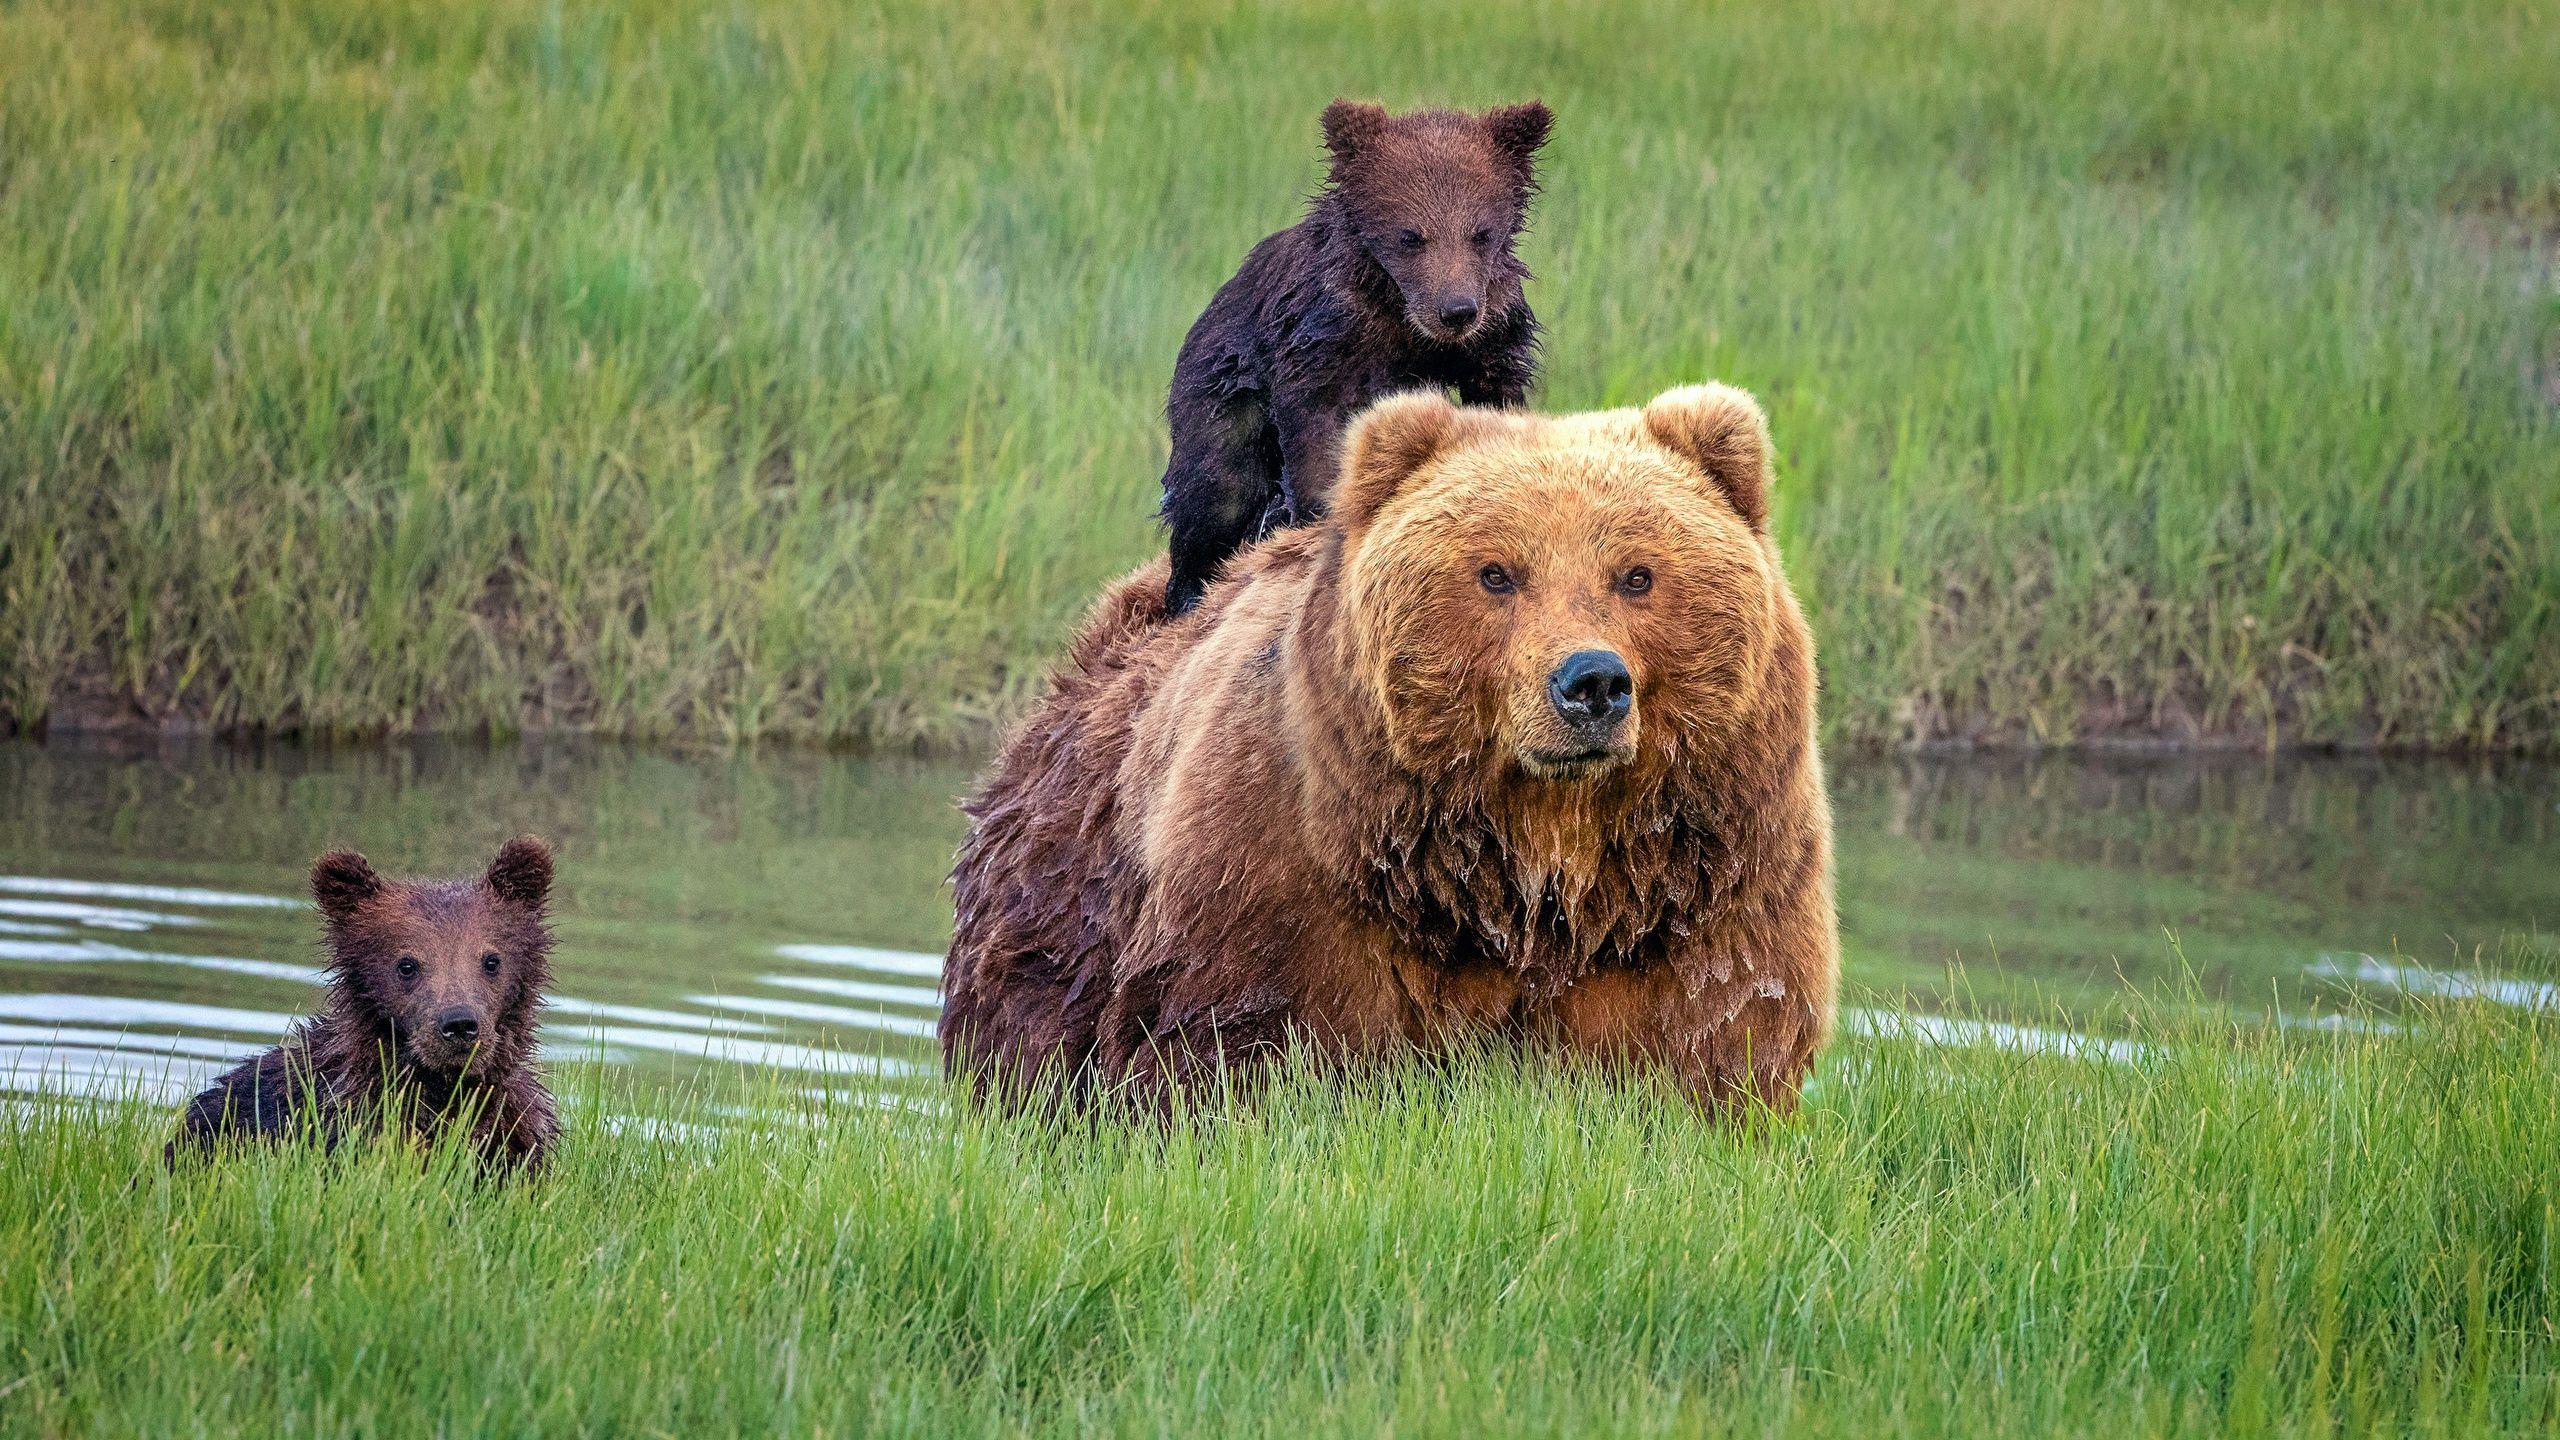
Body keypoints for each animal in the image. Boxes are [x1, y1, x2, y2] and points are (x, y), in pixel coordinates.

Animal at [945, 384, 1838, 1114]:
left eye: (1638, 575)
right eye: (1496, 573)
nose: (1591, 683)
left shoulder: (1701, 889)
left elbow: (1713, 1038)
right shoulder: (1287, 875)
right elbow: (1245, 1047)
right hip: (1056, 921)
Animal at [1156, 97, 1553, 616]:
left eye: (1481, 233)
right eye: (1411, 235)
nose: (1457, 310)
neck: (1402, 318)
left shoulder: (1494, 328)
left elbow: (1496, 391)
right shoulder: (1326, 333)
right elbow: (1315, 422)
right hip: (1218, 389)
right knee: (1215, 489)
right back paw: (1189, 591)